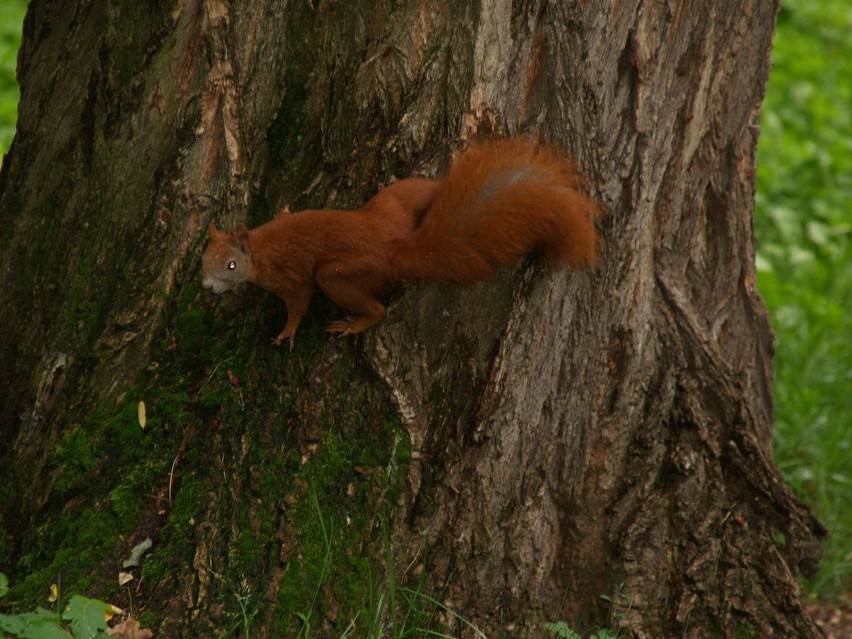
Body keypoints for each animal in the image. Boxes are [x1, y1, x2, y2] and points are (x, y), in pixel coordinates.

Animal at [200, 138, 600, 350]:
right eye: (202, 260)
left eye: (231, 266)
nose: (205, 287)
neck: (260, 247)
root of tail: (393, 247)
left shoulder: (291, 279)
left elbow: (298, 303)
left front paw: (286, 332)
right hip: (394, 202)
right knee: (422, 191)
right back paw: (441, 186)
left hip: (342, 273)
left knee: (372, 306)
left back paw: (355, 324)